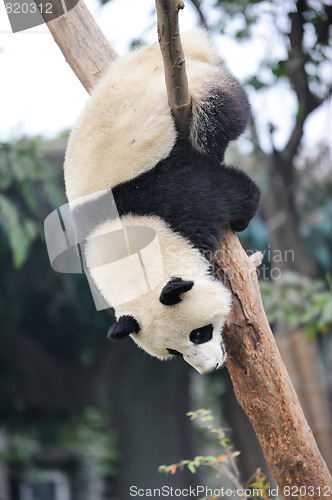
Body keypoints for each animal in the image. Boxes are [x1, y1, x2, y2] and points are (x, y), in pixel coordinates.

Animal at [63, 30, 260, 376]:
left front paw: (244, 211)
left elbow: (216, 191)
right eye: (174, 352)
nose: (211, 368)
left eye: (199, 333)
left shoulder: (166, 190)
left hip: (197, 85)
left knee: (218, 120)